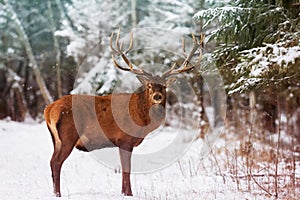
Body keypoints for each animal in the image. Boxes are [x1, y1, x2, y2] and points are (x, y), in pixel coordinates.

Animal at [44, 30, 204, 197]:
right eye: (149, 85)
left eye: (164, 86)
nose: (157, 96)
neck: (142, 121)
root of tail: (49, 109)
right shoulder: (124, 140)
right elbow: (127, 169)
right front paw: (128, 193)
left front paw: (124, 192)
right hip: (68, 135)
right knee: (56, 162)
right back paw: (58, 194)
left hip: (56, 139)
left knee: (52, 161)